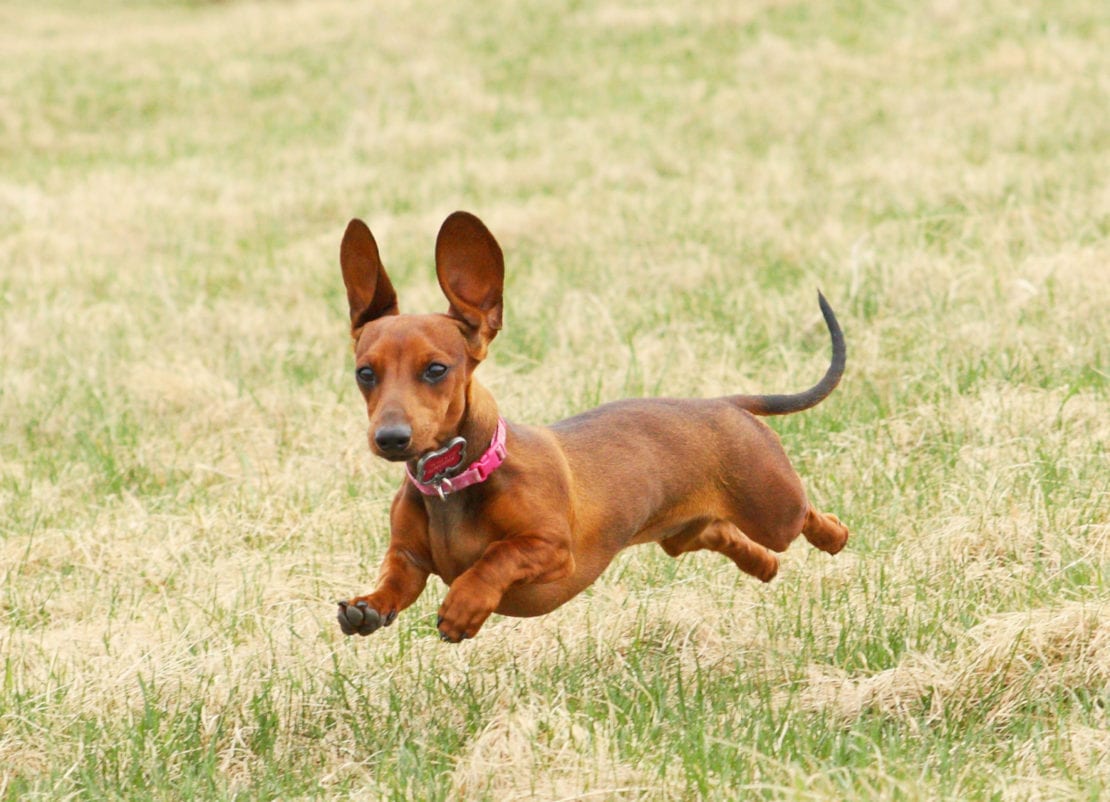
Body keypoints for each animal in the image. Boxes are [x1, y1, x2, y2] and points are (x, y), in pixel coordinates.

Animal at [333, 209, 843, 643]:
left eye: (436, 370)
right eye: (365, 373)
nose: (390, 439)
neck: (455, 481)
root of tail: (723, 403)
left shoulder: (554, 551)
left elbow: (497, 557)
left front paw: (464, 605)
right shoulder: (409, 559)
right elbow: (395, 579)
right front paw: (367, 606)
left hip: (773, 509)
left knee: (805, 517)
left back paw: (833, 537)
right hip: (682, 534)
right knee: (721, 534)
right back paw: (763, 567)